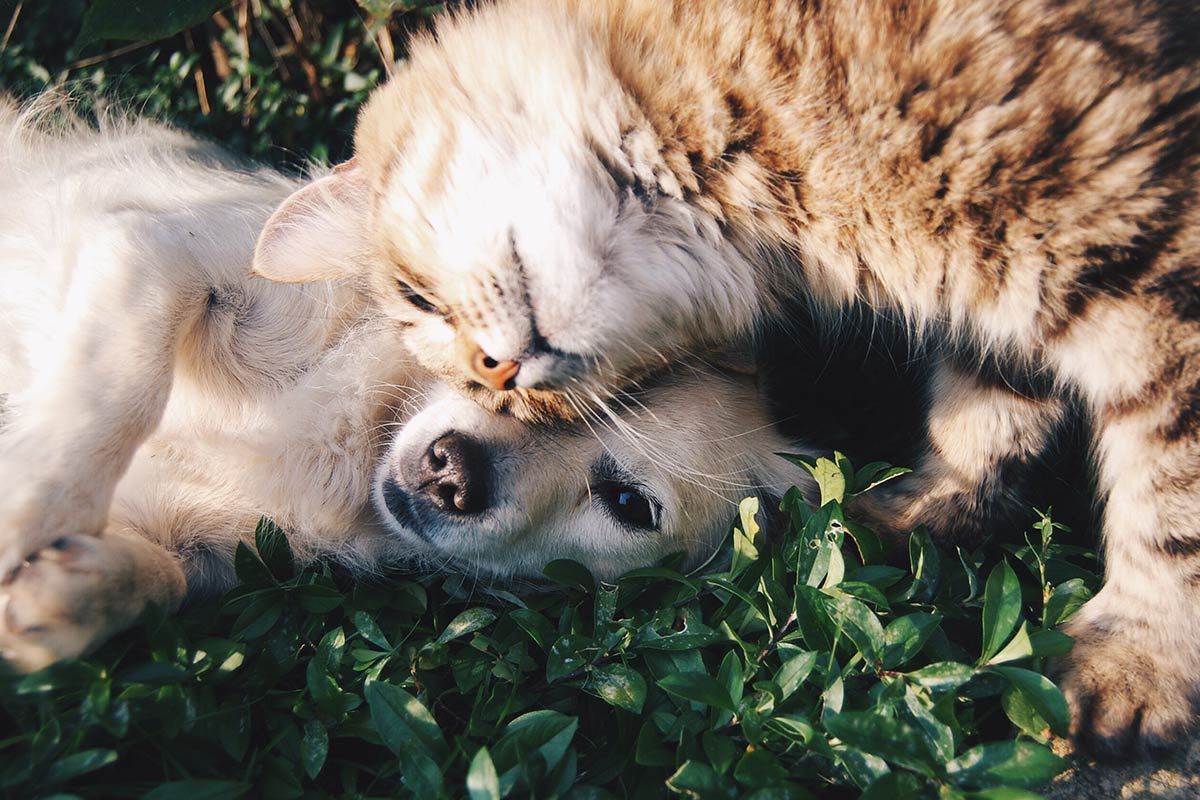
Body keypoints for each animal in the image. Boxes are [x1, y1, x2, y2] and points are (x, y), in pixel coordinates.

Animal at [253, 0, 1200, 758]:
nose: (501, 375)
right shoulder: (1005, 302)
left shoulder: (1151, 263)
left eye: (417, 299)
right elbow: (987, 413)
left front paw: (1138, 662)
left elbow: (1172, 503)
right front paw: (924, 512)